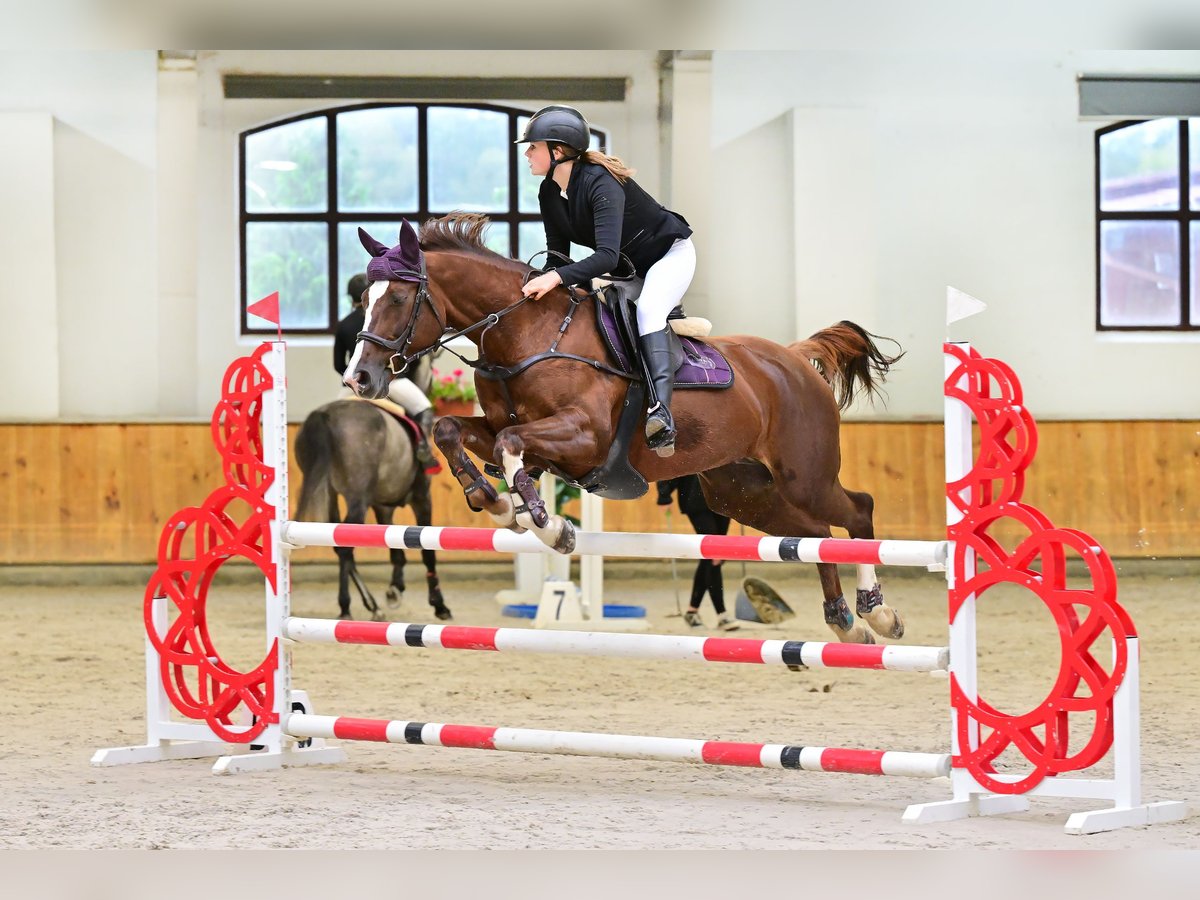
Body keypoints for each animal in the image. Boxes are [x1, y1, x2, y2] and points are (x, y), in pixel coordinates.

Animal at [348, 214, 907, 643]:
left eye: (397, 299)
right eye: (365, 300)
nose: (359, 377)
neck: (524, 334)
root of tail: (792, 358)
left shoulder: (585, 438)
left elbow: (512, 446)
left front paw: (547, 524)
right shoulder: (518, 433)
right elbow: (451, 430)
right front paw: (494, 500)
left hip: (803, 476)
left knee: (858, 510)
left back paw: (876, 611)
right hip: (743, 492)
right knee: (816, 535)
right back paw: (846, 621)